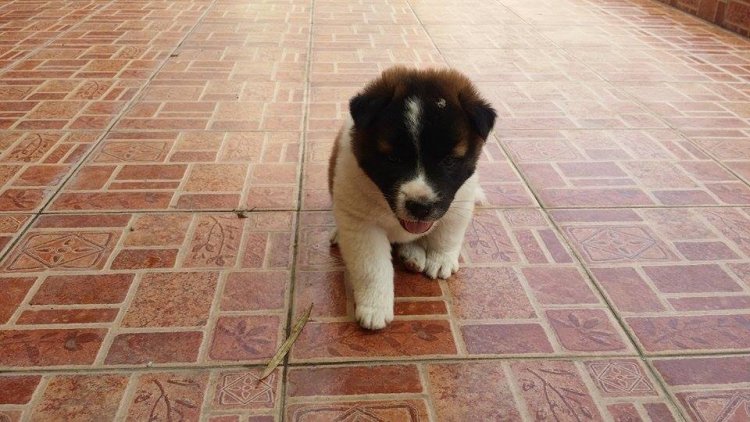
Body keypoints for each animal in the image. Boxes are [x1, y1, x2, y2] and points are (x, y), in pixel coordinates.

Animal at [328, 66, 497, 330]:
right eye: (393, 159)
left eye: (449, 161)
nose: (420, 207)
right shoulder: (362, 226)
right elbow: (372, 268)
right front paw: (375, 307)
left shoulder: (459, 202)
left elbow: (448, 234)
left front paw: (441, 259)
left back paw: (412, 255)